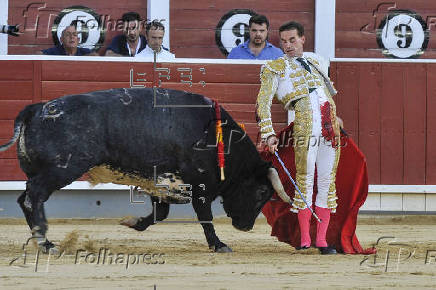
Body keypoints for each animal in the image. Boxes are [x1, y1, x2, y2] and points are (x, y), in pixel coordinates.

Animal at [0, 87, 290, 253]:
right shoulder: (200, 187)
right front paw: (218, 245)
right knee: (34, 196)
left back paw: (41, 240)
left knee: (24, 198)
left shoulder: (160, 183)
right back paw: (46, 243)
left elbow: (159, 214)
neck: (216, 137)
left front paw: (131, 222)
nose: (246, 227)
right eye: (262, 192)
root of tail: (37, 108)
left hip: (41, 171)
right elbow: (205, 217)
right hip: (61, 169)